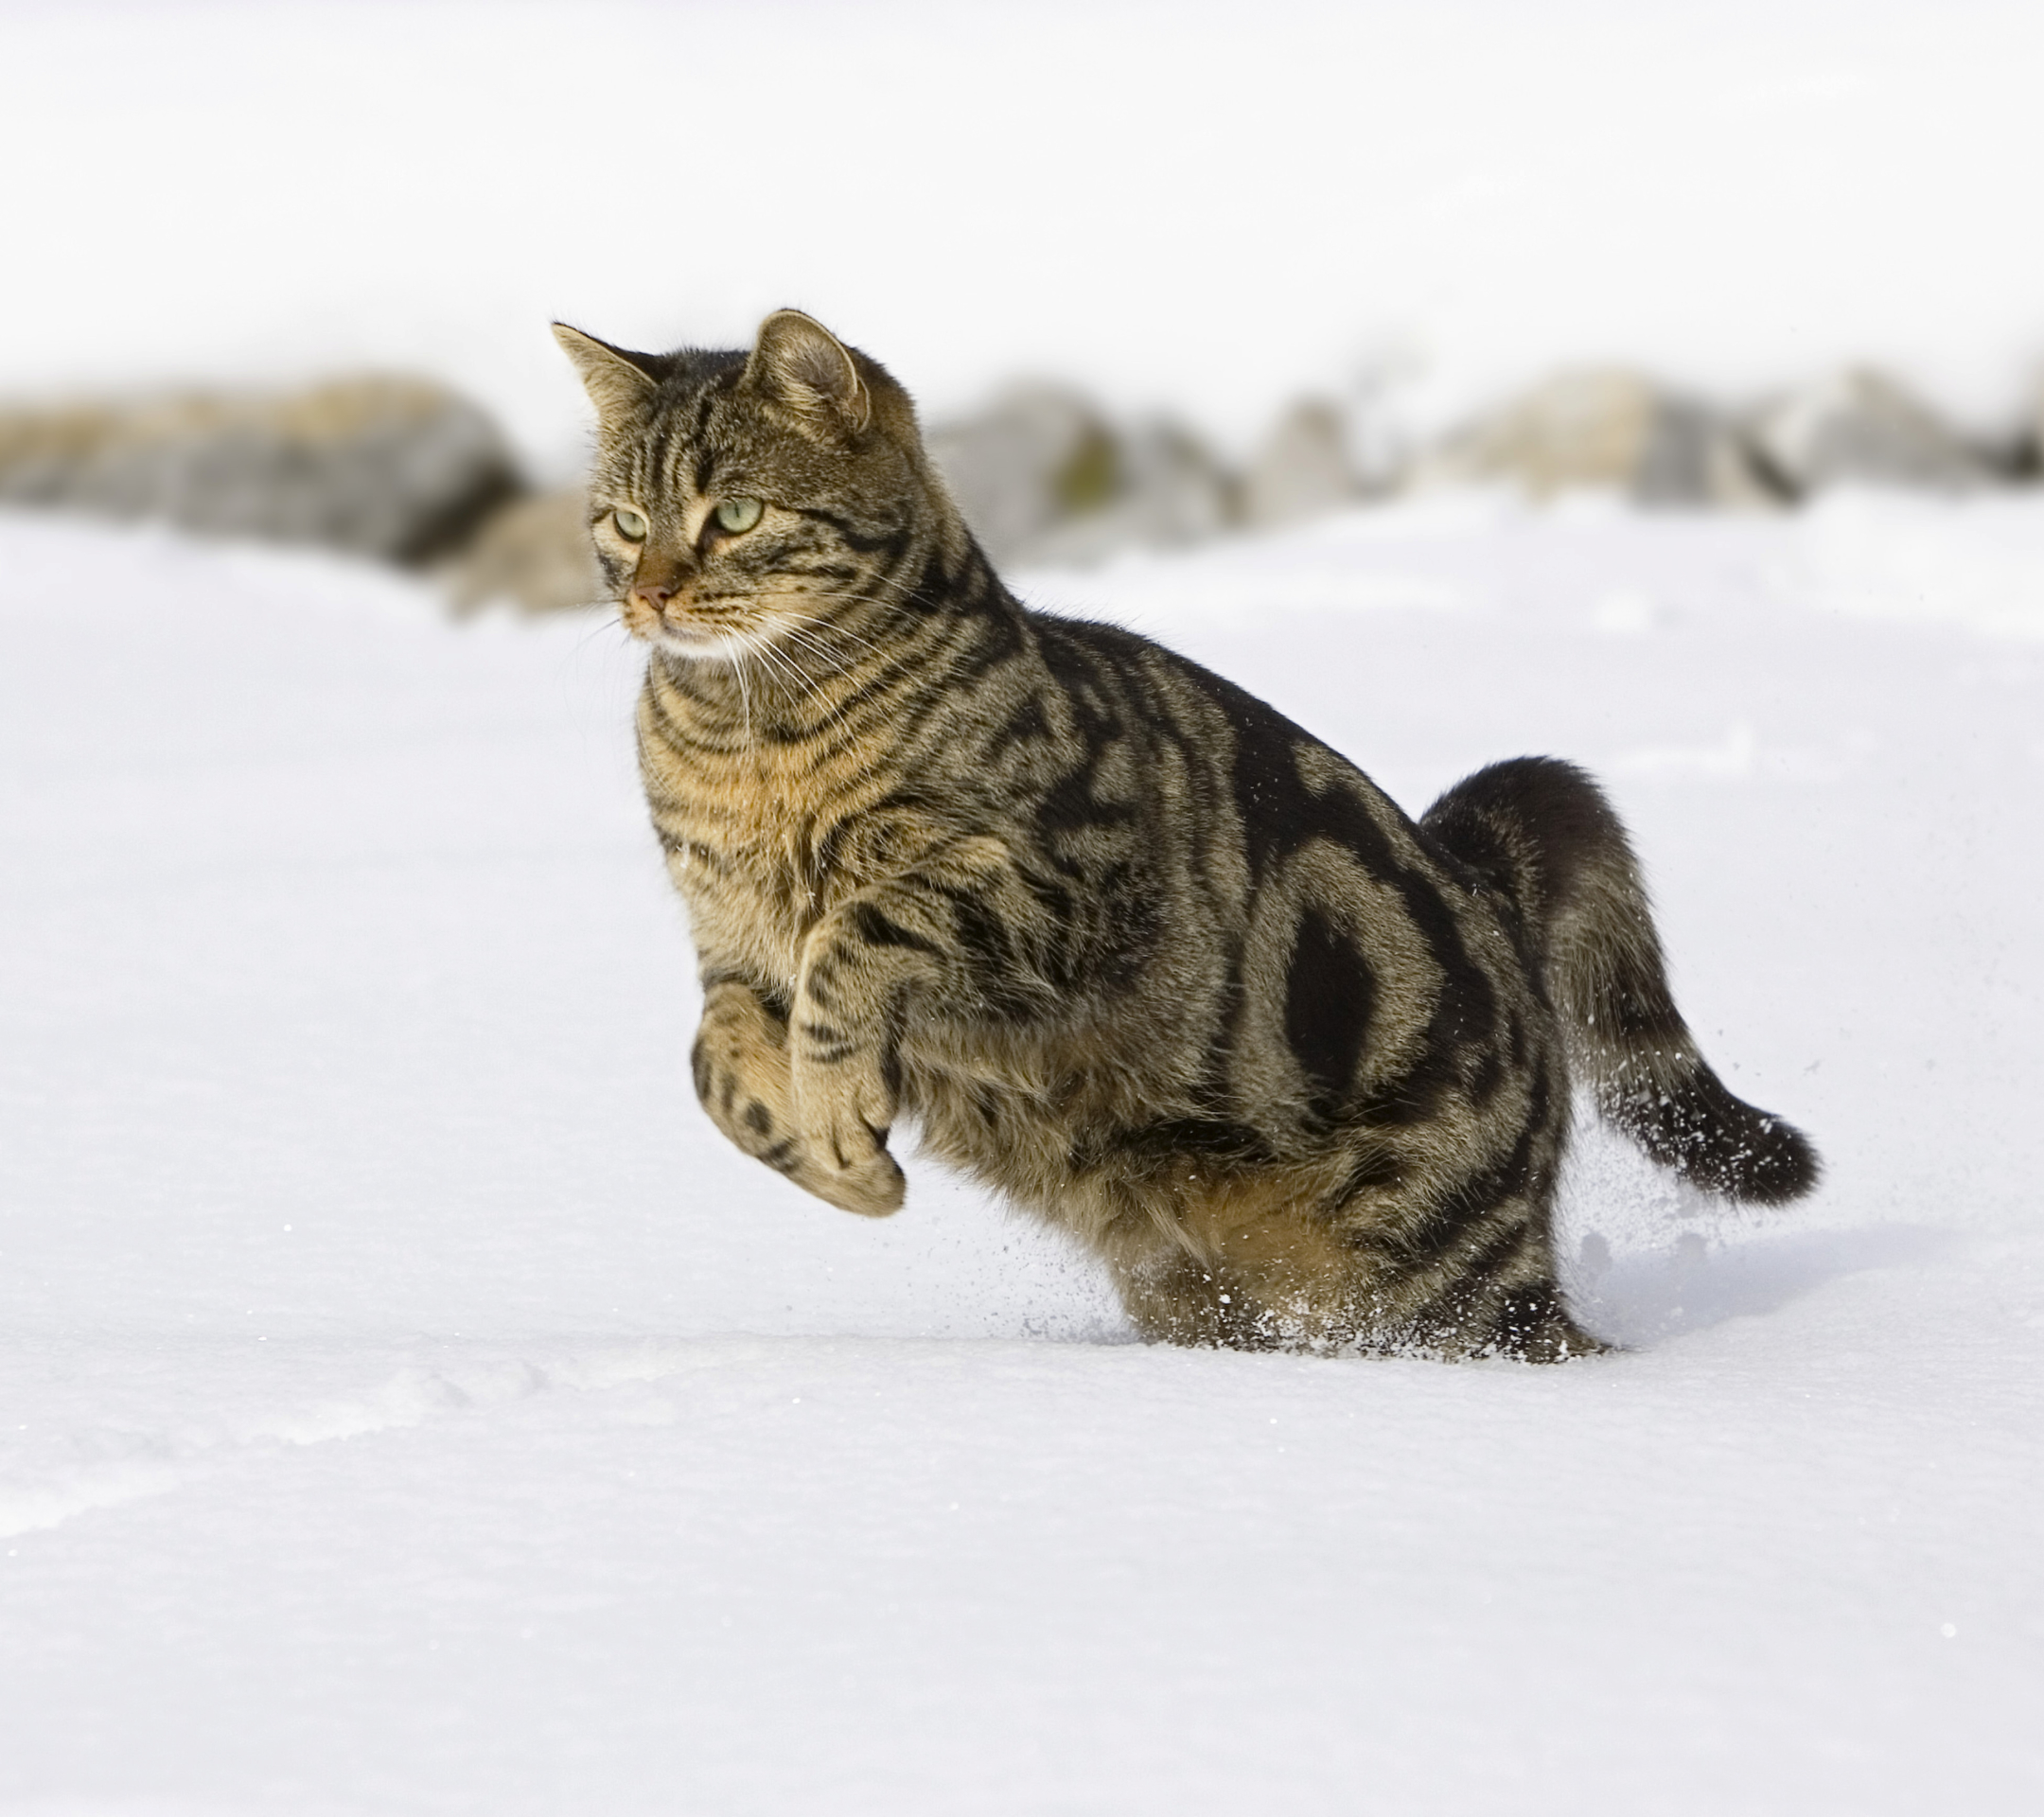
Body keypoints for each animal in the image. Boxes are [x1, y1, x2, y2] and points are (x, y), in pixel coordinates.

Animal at [552, 314, 1815, 1357]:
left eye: (736, 515)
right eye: (624, 520)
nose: (650, 593)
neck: (746, 743)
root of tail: (1487, 886)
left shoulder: (1061, 888)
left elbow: (855, 937)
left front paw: (836, 1111)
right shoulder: (728, 942)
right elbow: (713, 1051)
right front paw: (835, 1160)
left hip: (1439, 1284)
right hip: (1200, 1288)